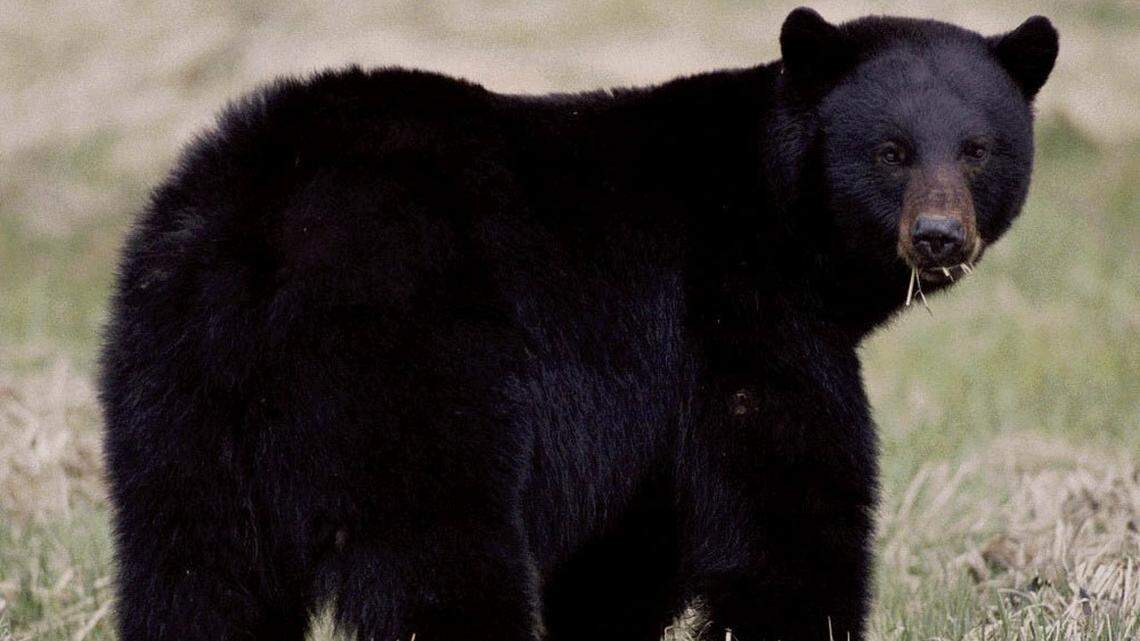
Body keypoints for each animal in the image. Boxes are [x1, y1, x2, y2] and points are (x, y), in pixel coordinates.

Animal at [98, 8, 1058, 641]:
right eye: (890, 151)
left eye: (978, 148)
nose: (938, 236)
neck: (773, 208)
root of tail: (263, 229)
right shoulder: (731, 316)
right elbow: (786, 499)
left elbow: (628, 547)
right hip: (406, 366)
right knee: (440, 554)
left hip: (173, 388)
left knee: (191, 572)